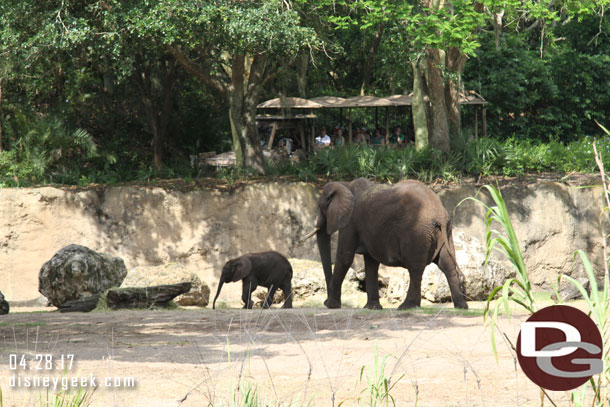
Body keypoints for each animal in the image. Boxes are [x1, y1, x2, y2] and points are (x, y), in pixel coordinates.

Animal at [304, 178, 466, 310]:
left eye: (320, 207)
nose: (324, 301)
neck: (345, 184)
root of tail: (440, 214)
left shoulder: (350, 222)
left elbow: (345, 258)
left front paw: (331, 306)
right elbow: (371, 262)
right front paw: (372, 308)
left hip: (417, 232)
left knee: (415, 267)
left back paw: (406, 307)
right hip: (446, 232)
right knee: (446, 264)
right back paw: (461, 306)